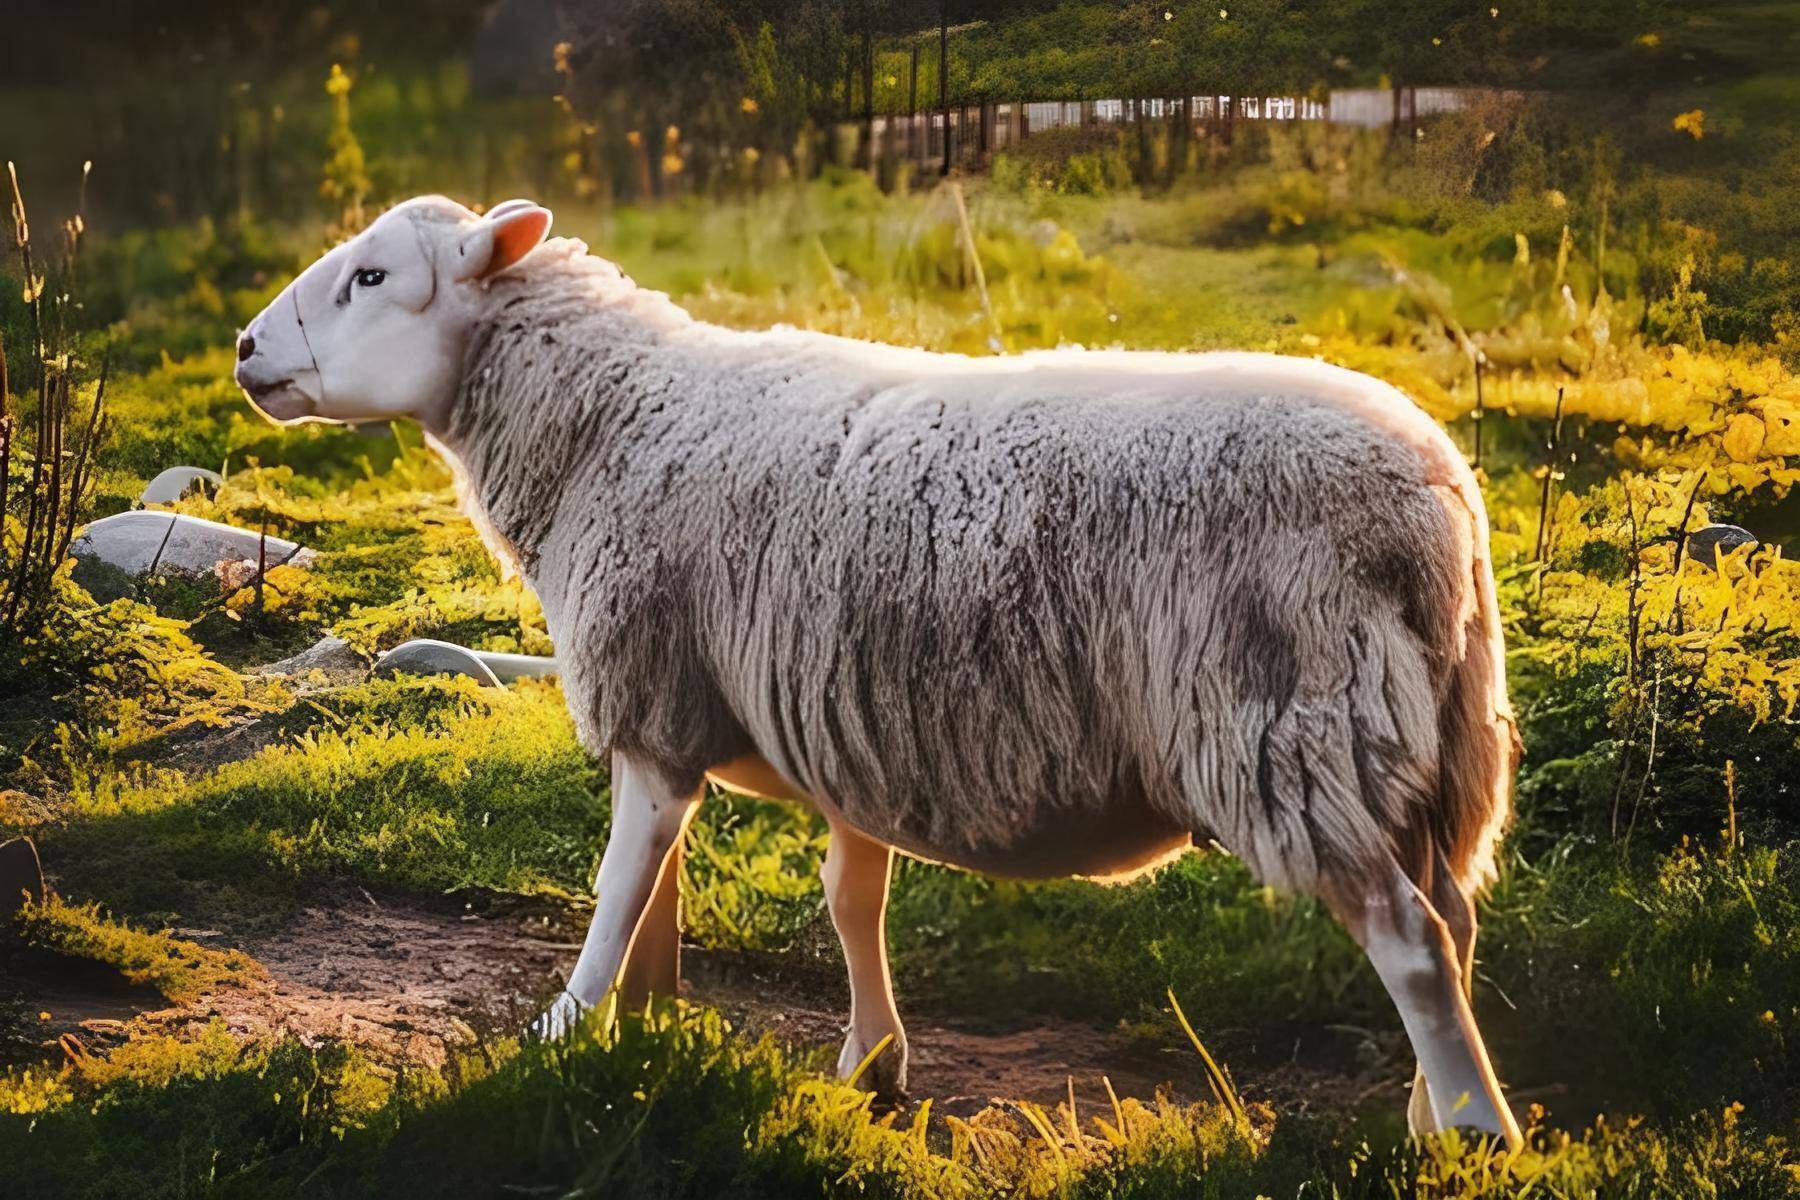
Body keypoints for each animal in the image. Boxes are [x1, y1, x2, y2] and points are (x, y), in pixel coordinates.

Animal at [239, 197, 1526, 1144]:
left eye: (370, 278)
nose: (247, 350)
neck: (614, 418)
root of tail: (1433, 500)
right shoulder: (843, 709)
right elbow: (842, 895)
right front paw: (840, 1059)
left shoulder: (654, 697)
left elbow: (618, 890)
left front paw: (565, 1029)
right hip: (1419, 737)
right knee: (1455, 922)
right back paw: (1433, 1111)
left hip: (1288, 724)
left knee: (1409, 939)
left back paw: (1474, 1133)